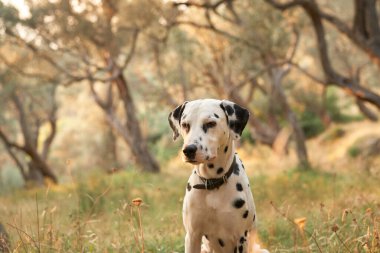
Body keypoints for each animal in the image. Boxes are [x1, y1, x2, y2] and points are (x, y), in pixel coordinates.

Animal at [169, 99, 268, 253]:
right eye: (185, 125)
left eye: (210, 123)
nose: (189, 150)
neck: (212, 182)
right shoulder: (192, 235)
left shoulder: (241, 238)